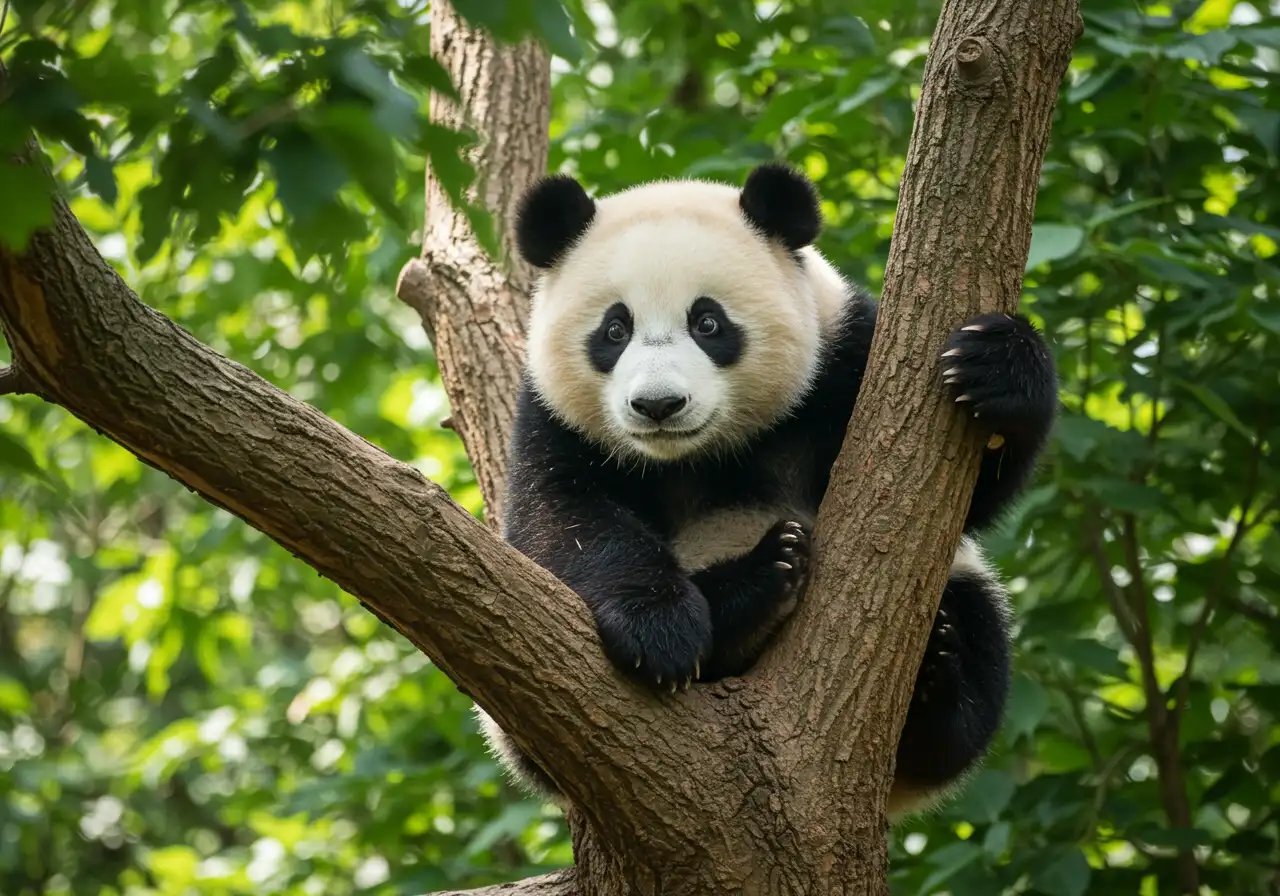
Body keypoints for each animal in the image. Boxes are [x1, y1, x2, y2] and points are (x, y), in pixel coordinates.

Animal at [476, 163, 1057, 818]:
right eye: (615, 329)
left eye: (707, 323)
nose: (658, 405)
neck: (699, 455)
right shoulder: (551, 419)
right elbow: (560, 519)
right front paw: (661, 630)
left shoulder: (844, 362)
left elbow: (962, 499)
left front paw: (995, 366)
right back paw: (753, 587)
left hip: (962, 596)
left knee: (975, 652)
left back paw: (938, 679)